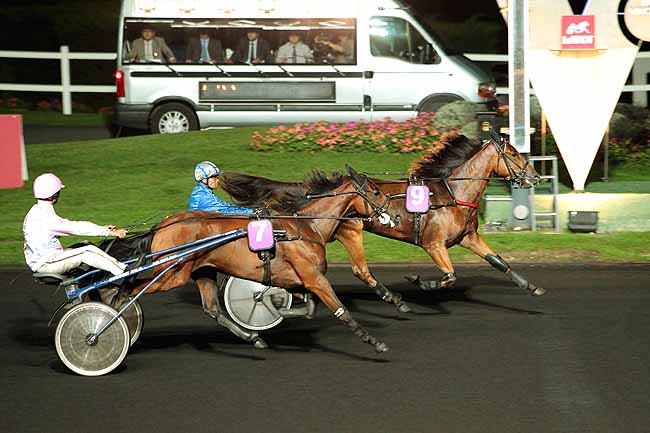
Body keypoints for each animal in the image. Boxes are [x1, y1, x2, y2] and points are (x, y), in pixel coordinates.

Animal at [116, 167, 390, 352]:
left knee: (212, 309)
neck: (306, 227)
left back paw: (253, 338)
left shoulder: (299, 278)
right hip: (171, 273)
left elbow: (309, 308)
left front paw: (277, 306)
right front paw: (375, 342)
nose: (390, 215)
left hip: (202, 271)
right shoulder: (313, 278)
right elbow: (341, 311)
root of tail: (161, 226)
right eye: (376, 192)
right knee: (129, 290)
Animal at [220, 133, 544, 308]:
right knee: (358, 269)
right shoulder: (433, 244)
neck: (453, 194)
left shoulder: (468, 237)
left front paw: (532, 287)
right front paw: (419, 281)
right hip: (351, 229)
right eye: (515, 154)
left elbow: (499, 261)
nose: (534, 176)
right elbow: (449, 276)